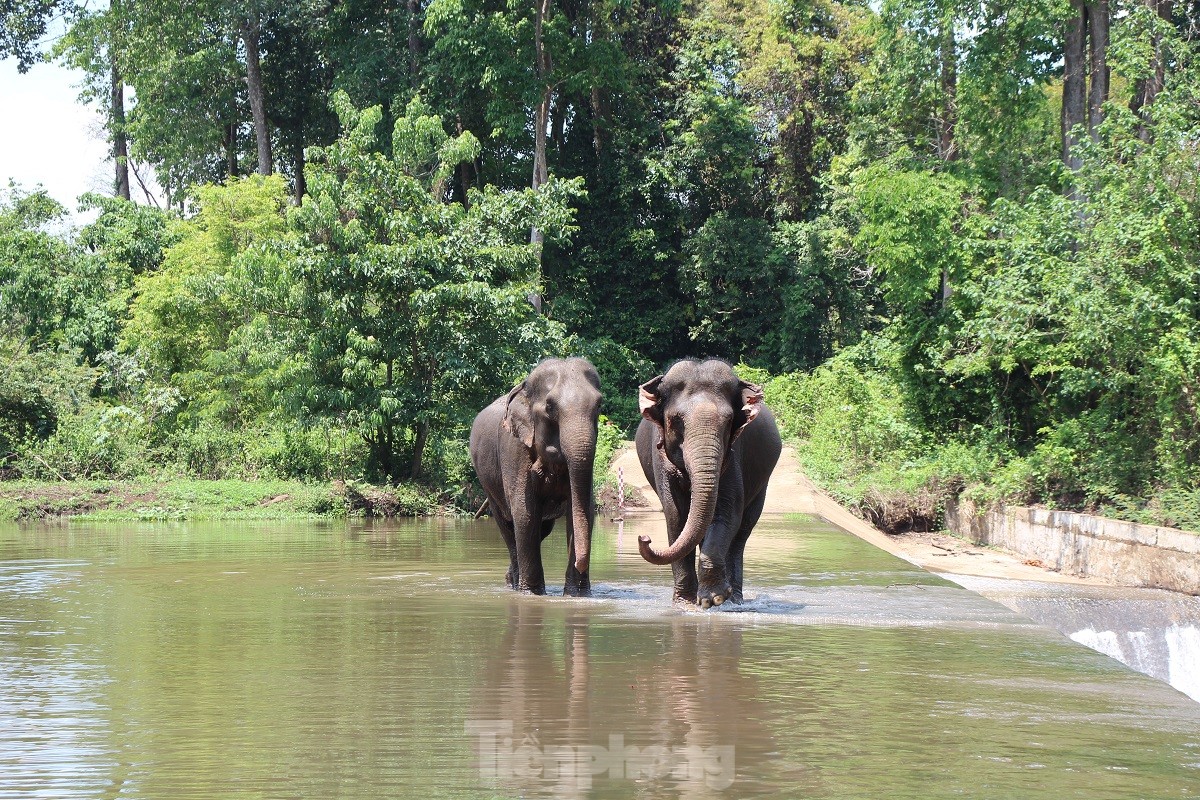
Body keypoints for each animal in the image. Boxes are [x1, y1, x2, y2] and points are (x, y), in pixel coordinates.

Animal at [465, 357, 600, 594]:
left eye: (600, 405)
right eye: (549, 407)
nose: (580, 564)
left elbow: (581, 511)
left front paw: (578, 595)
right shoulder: (514, 448)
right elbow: (525, 513)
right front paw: (532, 594)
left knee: (540, 530)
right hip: (488, 483)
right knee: (508, 528)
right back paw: (515, 584)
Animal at [633, 359, 782, 609]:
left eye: (729, 421)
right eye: (676, 421)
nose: (644, 538)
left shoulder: (733, 455)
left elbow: (727, 513)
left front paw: (713, 599)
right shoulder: (661, 459)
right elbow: (676, 516)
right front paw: (684, 603)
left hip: (762, 485)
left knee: (742, 532)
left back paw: (735, 600)